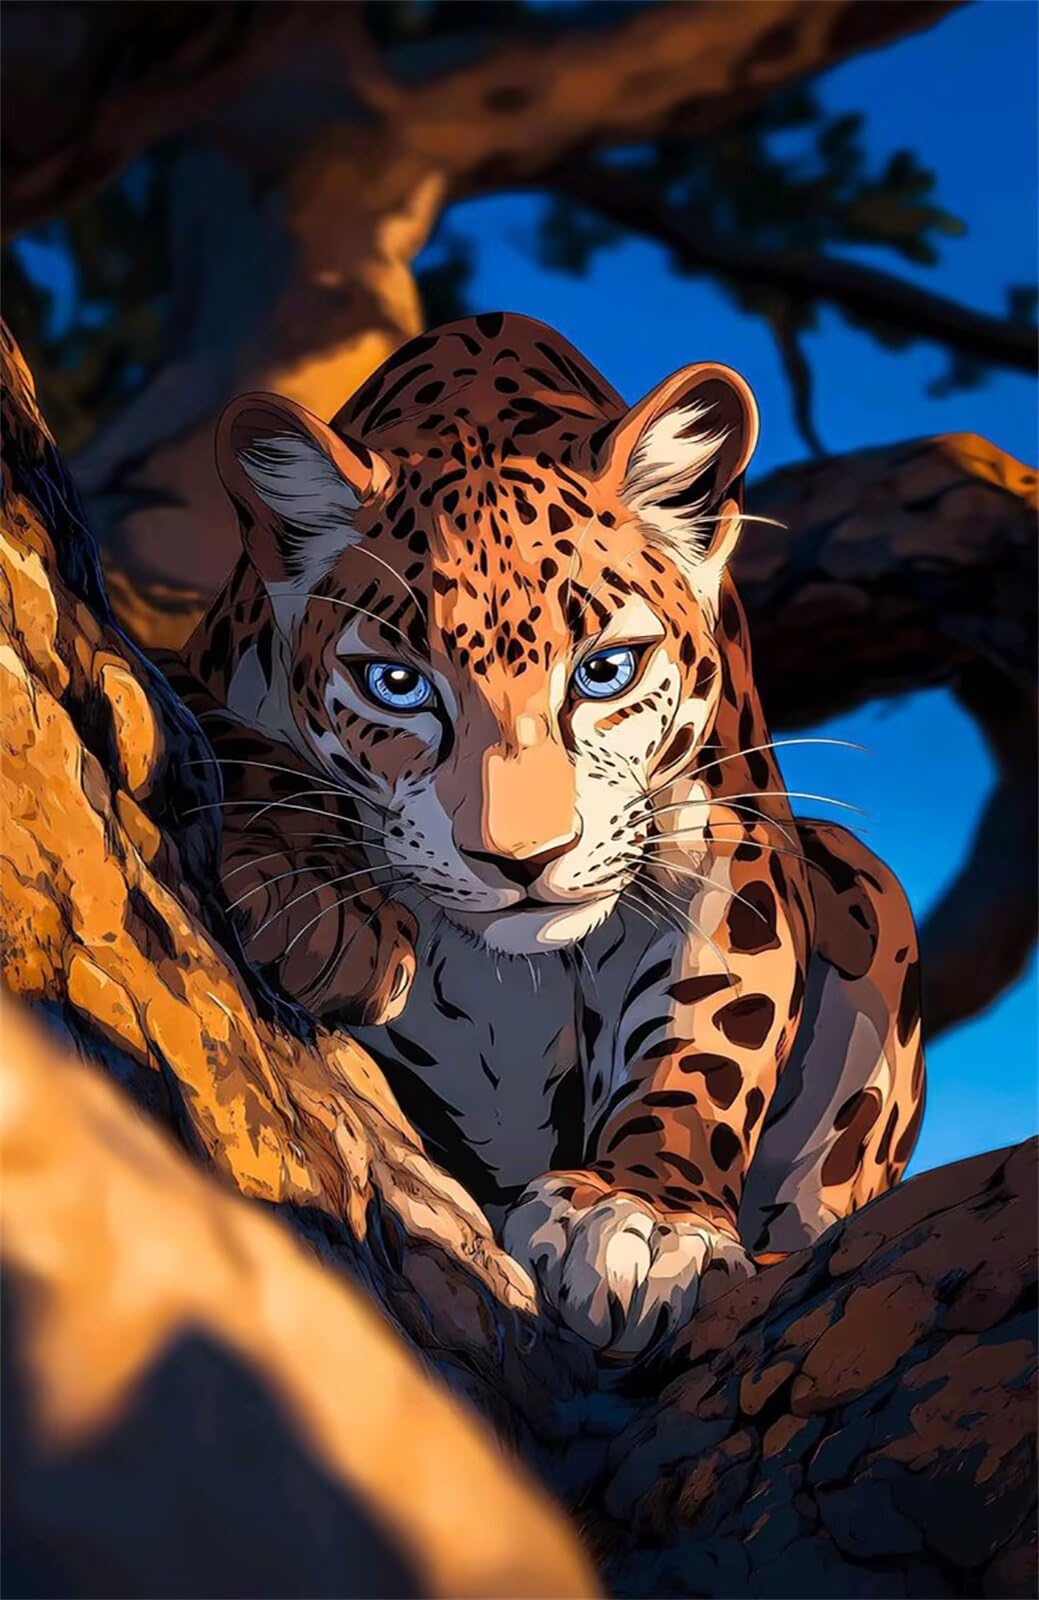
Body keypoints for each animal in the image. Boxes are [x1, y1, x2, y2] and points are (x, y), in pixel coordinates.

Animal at [181, 312, 925, 1357]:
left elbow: (709, 1032)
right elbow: (238, 741)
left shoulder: (725, 833)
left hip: (865, 880)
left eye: (606, 671)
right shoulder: (204, 667)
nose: (522, 860)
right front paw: (323, 913)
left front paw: (642, 1218)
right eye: (395, 685)